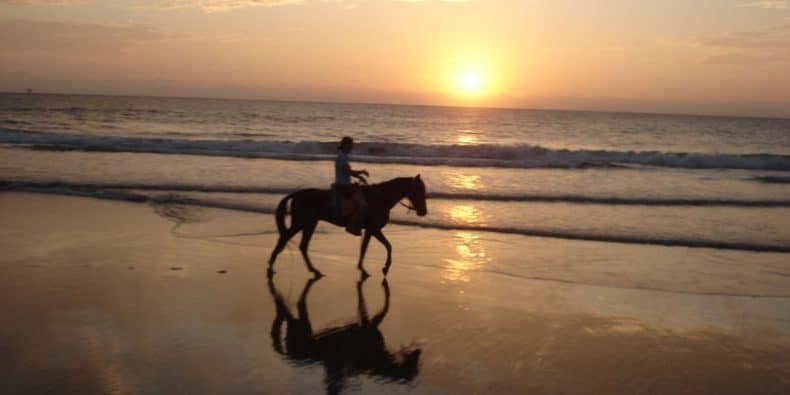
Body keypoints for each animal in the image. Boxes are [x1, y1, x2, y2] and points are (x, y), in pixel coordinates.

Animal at [268, 175, 430, 276]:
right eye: (418, 190)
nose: (423, 211)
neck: (380, 198)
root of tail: (295, 195)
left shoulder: (371, 230)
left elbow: (368, 248)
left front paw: (364, 268)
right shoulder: (374, 229)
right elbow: (386, 246)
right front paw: (384, 268)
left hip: (310, 223)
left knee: (302, 245)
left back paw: (314, 270)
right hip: (301, 222)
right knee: (284, 238)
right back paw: (270, 267)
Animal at [270, 276, 424, 395]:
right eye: (413, 366)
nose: (418, 350)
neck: (379, 360)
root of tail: (290, 355)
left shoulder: (370, 323)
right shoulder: (368, 324)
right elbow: (377, 306)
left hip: (302, 325)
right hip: (299, 325)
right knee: (289, 307)